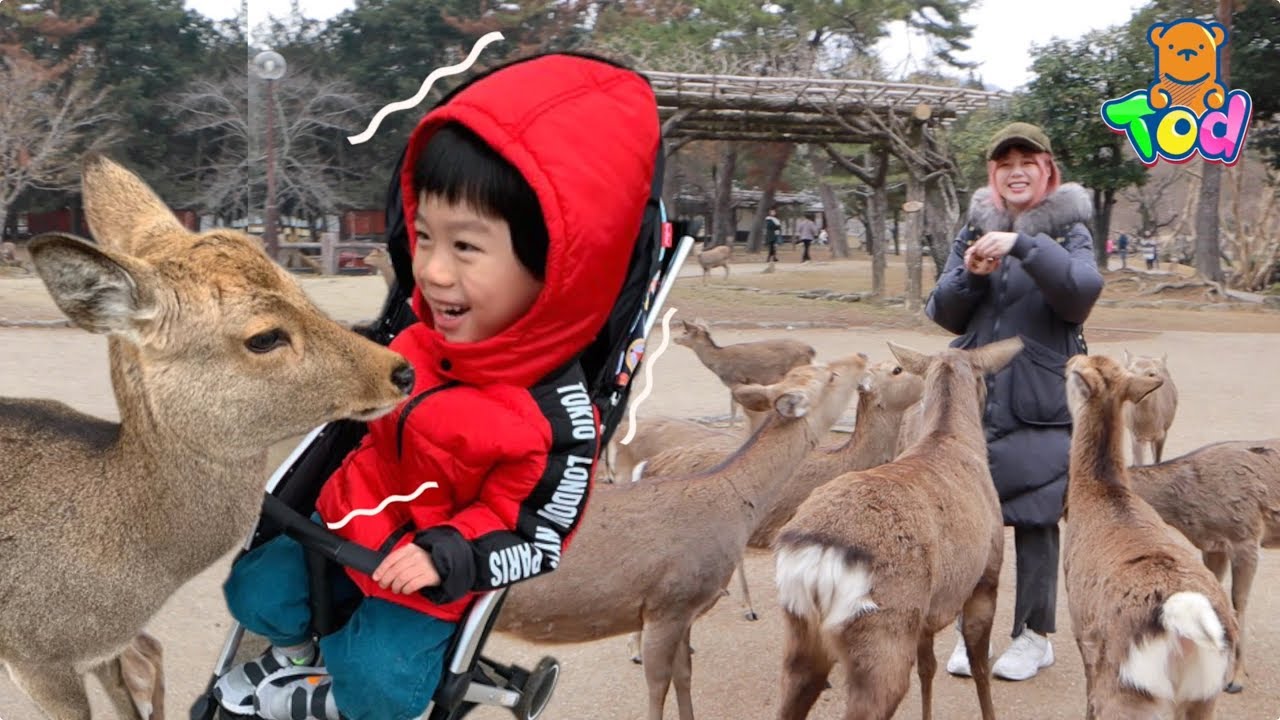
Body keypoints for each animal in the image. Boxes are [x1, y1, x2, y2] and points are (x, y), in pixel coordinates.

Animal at [495, 353, 868, 720]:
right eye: (831, 375)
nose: (861, 356)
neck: (732, 509)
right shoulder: (667, 603)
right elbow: (658, 685)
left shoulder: (686, 610)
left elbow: (684, 674)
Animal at [674, 319, 815, 426]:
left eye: (685, 331)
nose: (675, 339)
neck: (717, 364)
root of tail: (811, 351)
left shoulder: (734, 380)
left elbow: (734, 407)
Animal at [773, 338, 1023, 720]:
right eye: (984, 379)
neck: (950, 438)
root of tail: (817, 553)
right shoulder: (987, 573)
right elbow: (979, 666)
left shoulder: (927, 612)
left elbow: (928, 668)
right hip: (883, 631)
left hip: (801, 630)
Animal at [1062, 353, 1237, 719]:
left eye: (1078, 371)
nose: (1070, 358)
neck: (1099, 494)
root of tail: (1182, 618)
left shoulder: (1080, 625)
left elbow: (1088, 693)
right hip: (1203, 697)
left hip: (1127, 693)